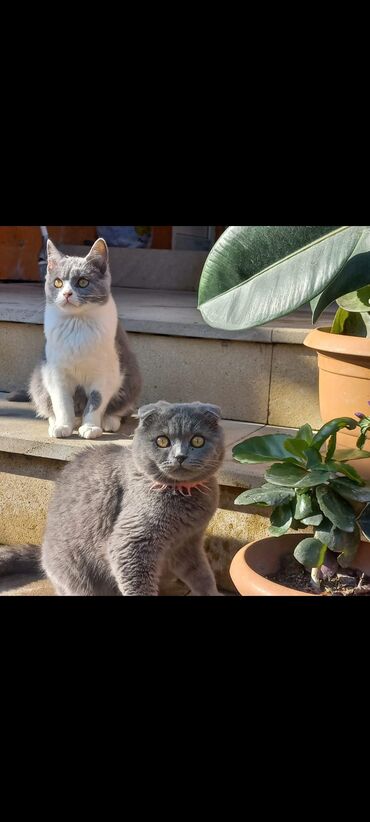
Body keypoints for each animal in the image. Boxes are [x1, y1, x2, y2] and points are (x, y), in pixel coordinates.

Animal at [0, 402, 225, 596]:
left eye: (197, 440)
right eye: (162, 441)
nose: (180, 457)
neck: (184, 494)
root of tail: (42, 551)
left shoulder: (187, 543)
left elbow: (202, 575)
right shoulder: (130, 542)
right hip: (74, 571)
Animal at [28, 237, 142, 438]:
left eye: (82, 282)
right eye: (57, 283)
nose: (67, 293)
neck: (77, 323)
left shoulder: (105, 373)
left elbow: (96, 402)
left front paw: (90, 427)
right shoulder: (56, 372)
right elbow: (61, 402)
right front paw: (62, 426)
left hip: (132, 377)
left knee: (121, 408)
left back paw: (109, 421)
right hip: (38, 379)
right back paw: (59, 422)